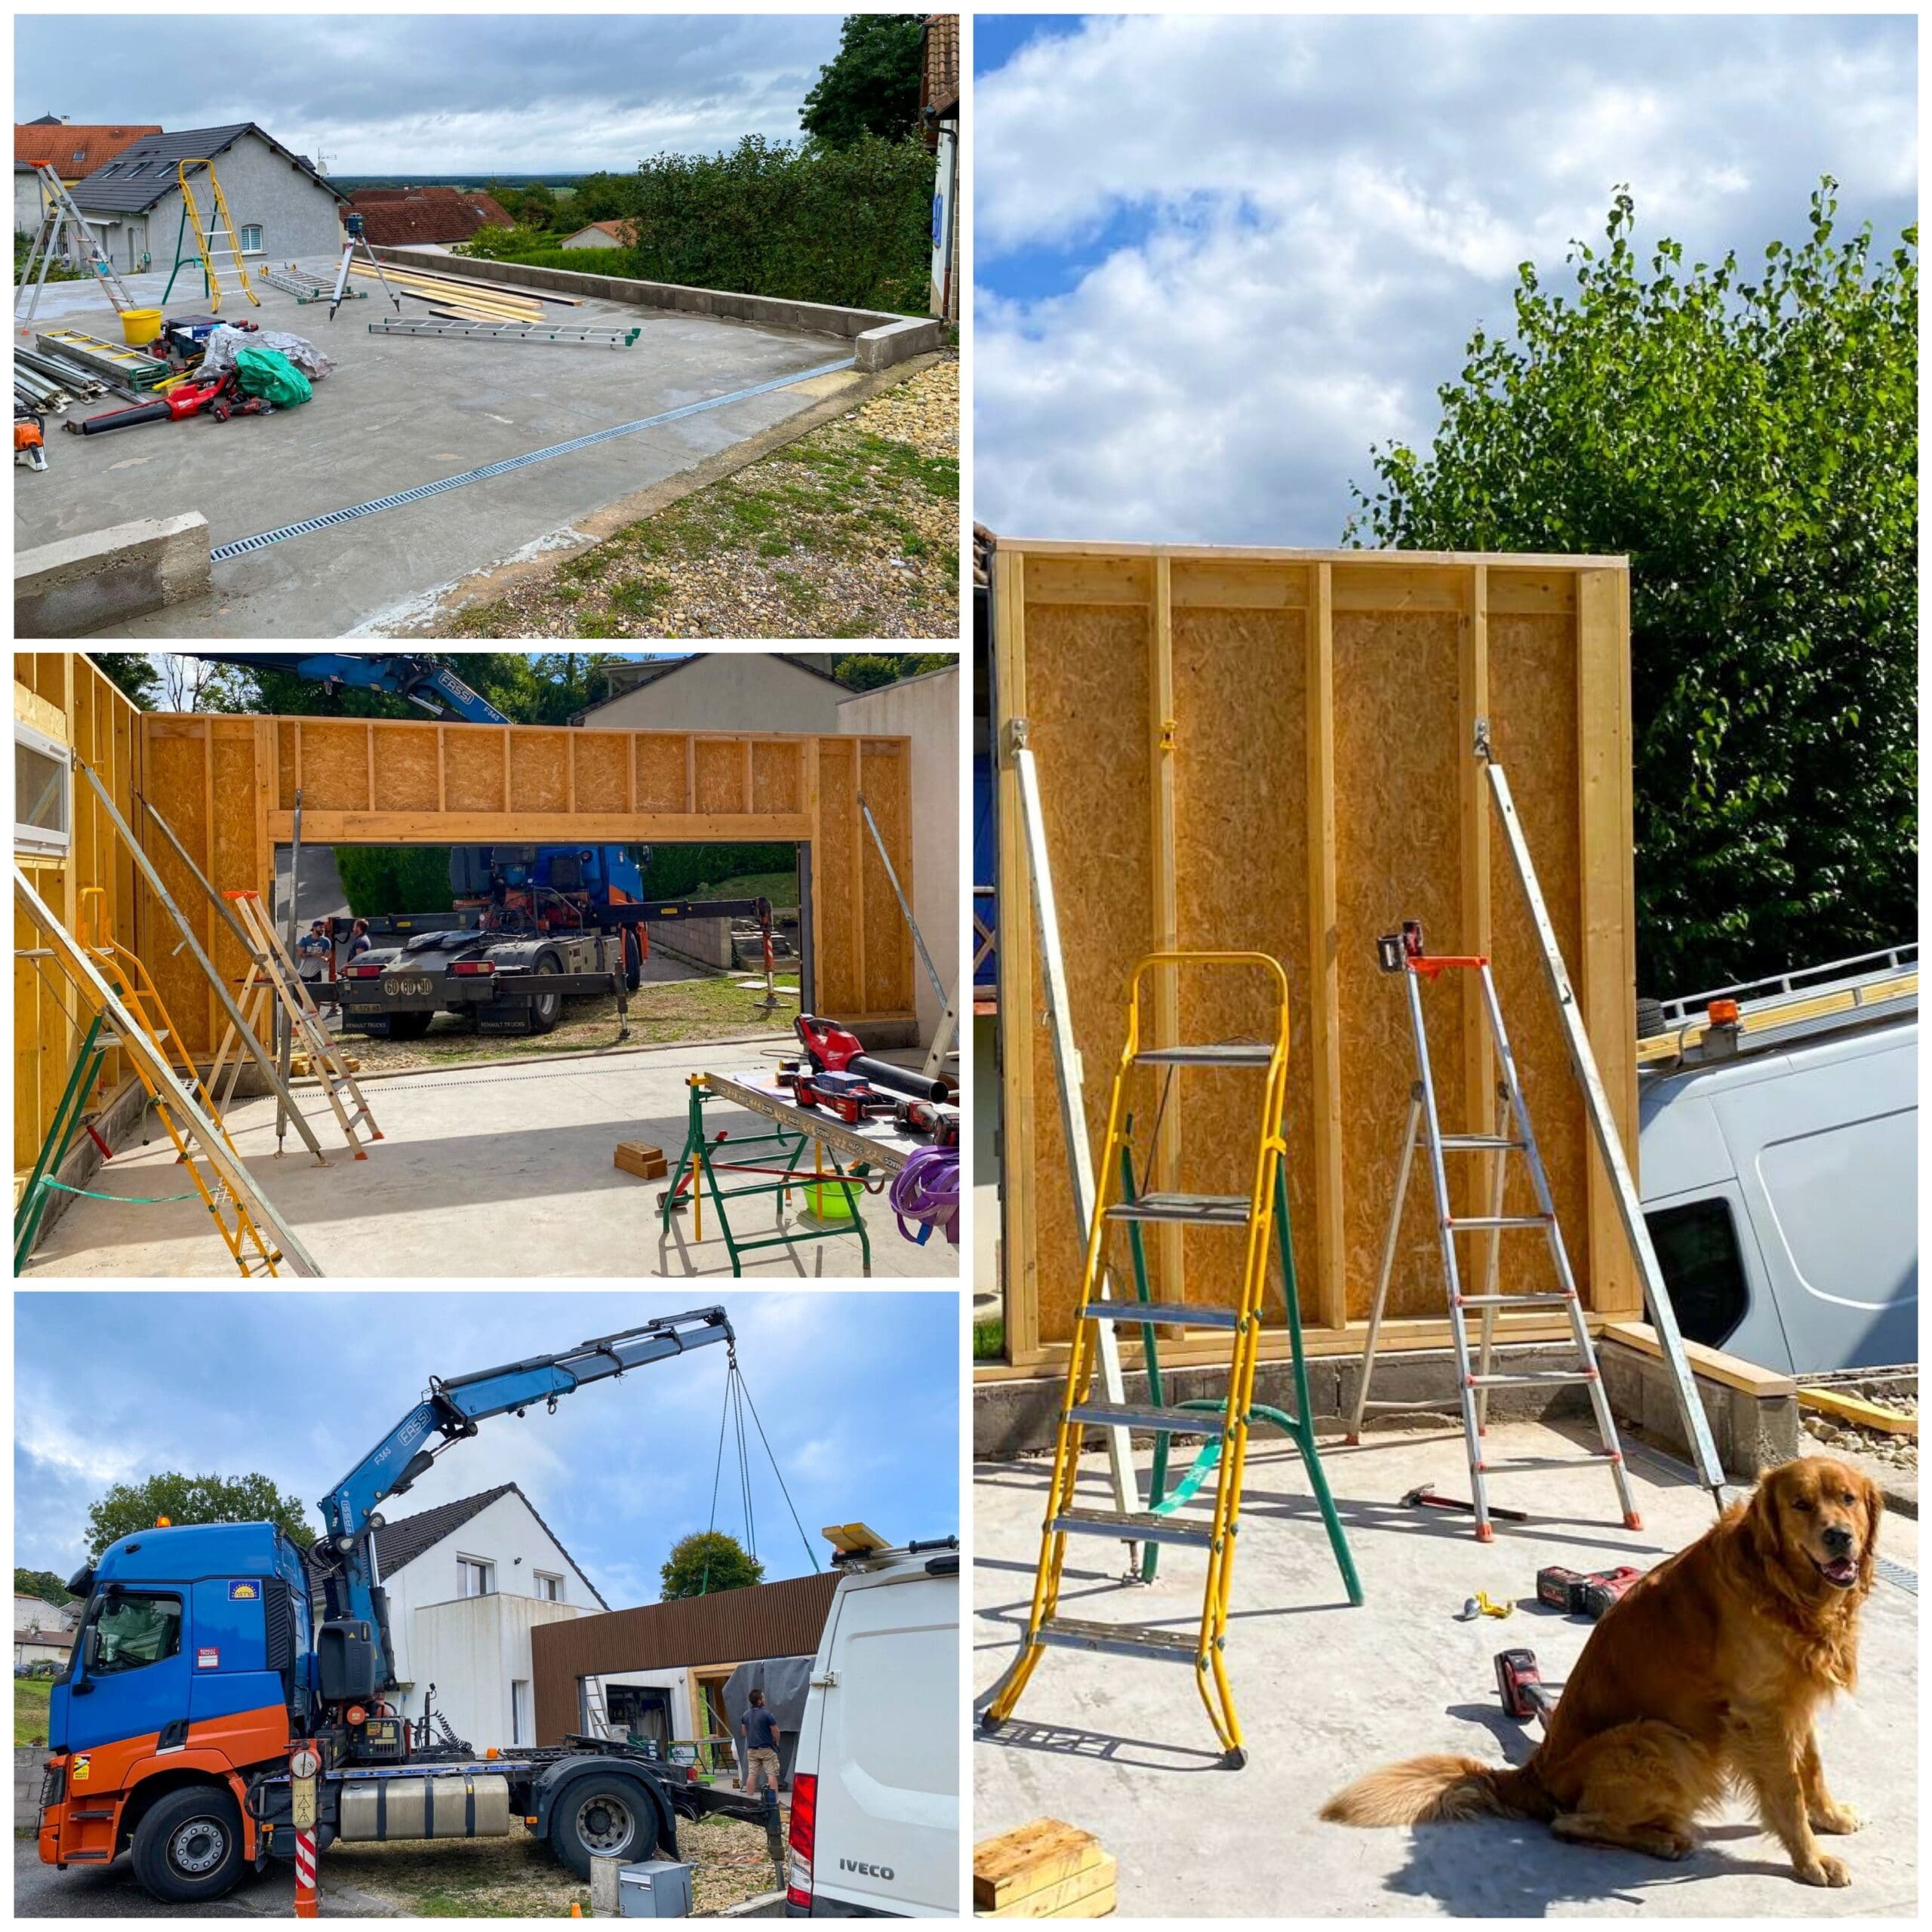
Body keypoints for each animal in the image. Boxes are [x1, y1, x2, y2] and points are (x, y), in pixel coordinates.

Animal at [1321, 1460, 1878, 1885]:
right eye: (1801, 1504)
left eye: (1847, 1499)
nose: (1839, 1537)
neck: (1784, 1587)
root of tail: (1531, 1771)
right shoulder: (1759, 1713)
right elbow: (1786, 1792)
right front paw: (1811, 1860)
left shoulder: (1793, 1700)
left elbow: (1811, 1767)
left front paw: (1828, 1816)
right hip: (1660, 1738)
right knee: (1569, 1822)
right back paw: (1662, 1840)